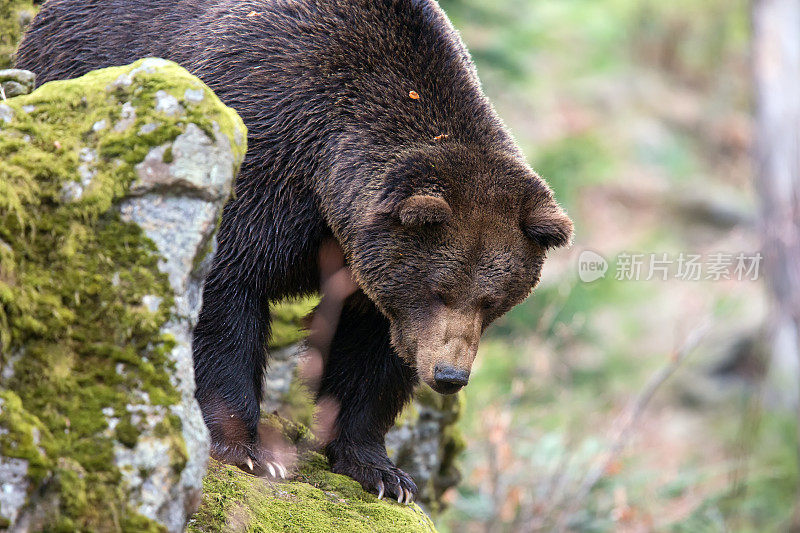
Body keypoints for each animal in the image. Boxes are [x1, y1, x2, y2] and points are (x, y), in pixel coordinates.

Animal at [15, 0, 572, 500]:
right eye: (439, 290)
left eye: (492, 301)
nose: (449, 375)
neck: (328, 173)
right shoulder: (266, 156)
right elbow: (225, 294)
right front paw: (247, 449)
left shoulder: (366, 269)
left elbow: (371, 354)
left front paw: (381, 471)